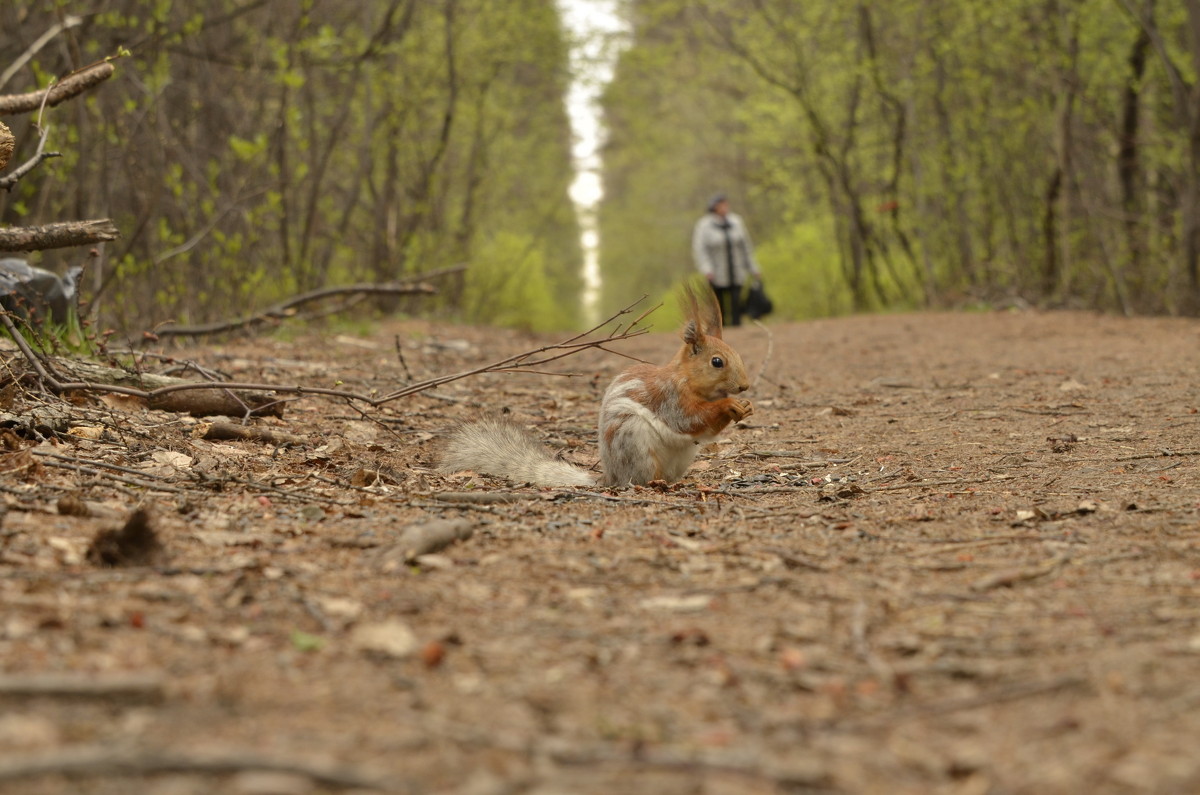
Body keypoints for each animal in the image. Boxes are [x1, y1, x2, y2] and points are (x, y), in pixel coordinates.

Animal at [441, 283, 748, 489]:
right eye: (717, 362)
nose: (744, 386)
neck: (688, 381)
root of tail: (609, 477)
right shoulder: (669, 398)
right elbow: (689, 418)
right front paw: (730, 405)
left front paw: (745, 407)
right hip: (632, 440)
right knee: (639, 479)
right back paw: (653, 484)